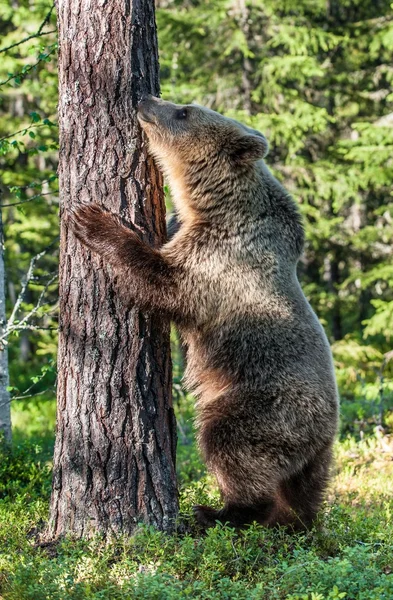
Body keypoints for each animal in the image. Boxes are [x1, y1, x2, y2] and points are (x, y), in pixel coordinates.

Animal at [69, 96, 336, 532]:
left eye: (184, 111)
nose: (146, 99)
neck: (212, 204)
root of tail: (326, 431)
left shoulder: (222, 258)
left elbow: (165, 282)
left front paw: (92, 219)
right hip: (312, 456)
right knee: (304, 494)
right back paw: (293, 520)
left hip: (264, 405)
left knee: (230, 444)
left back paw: (217, 513)